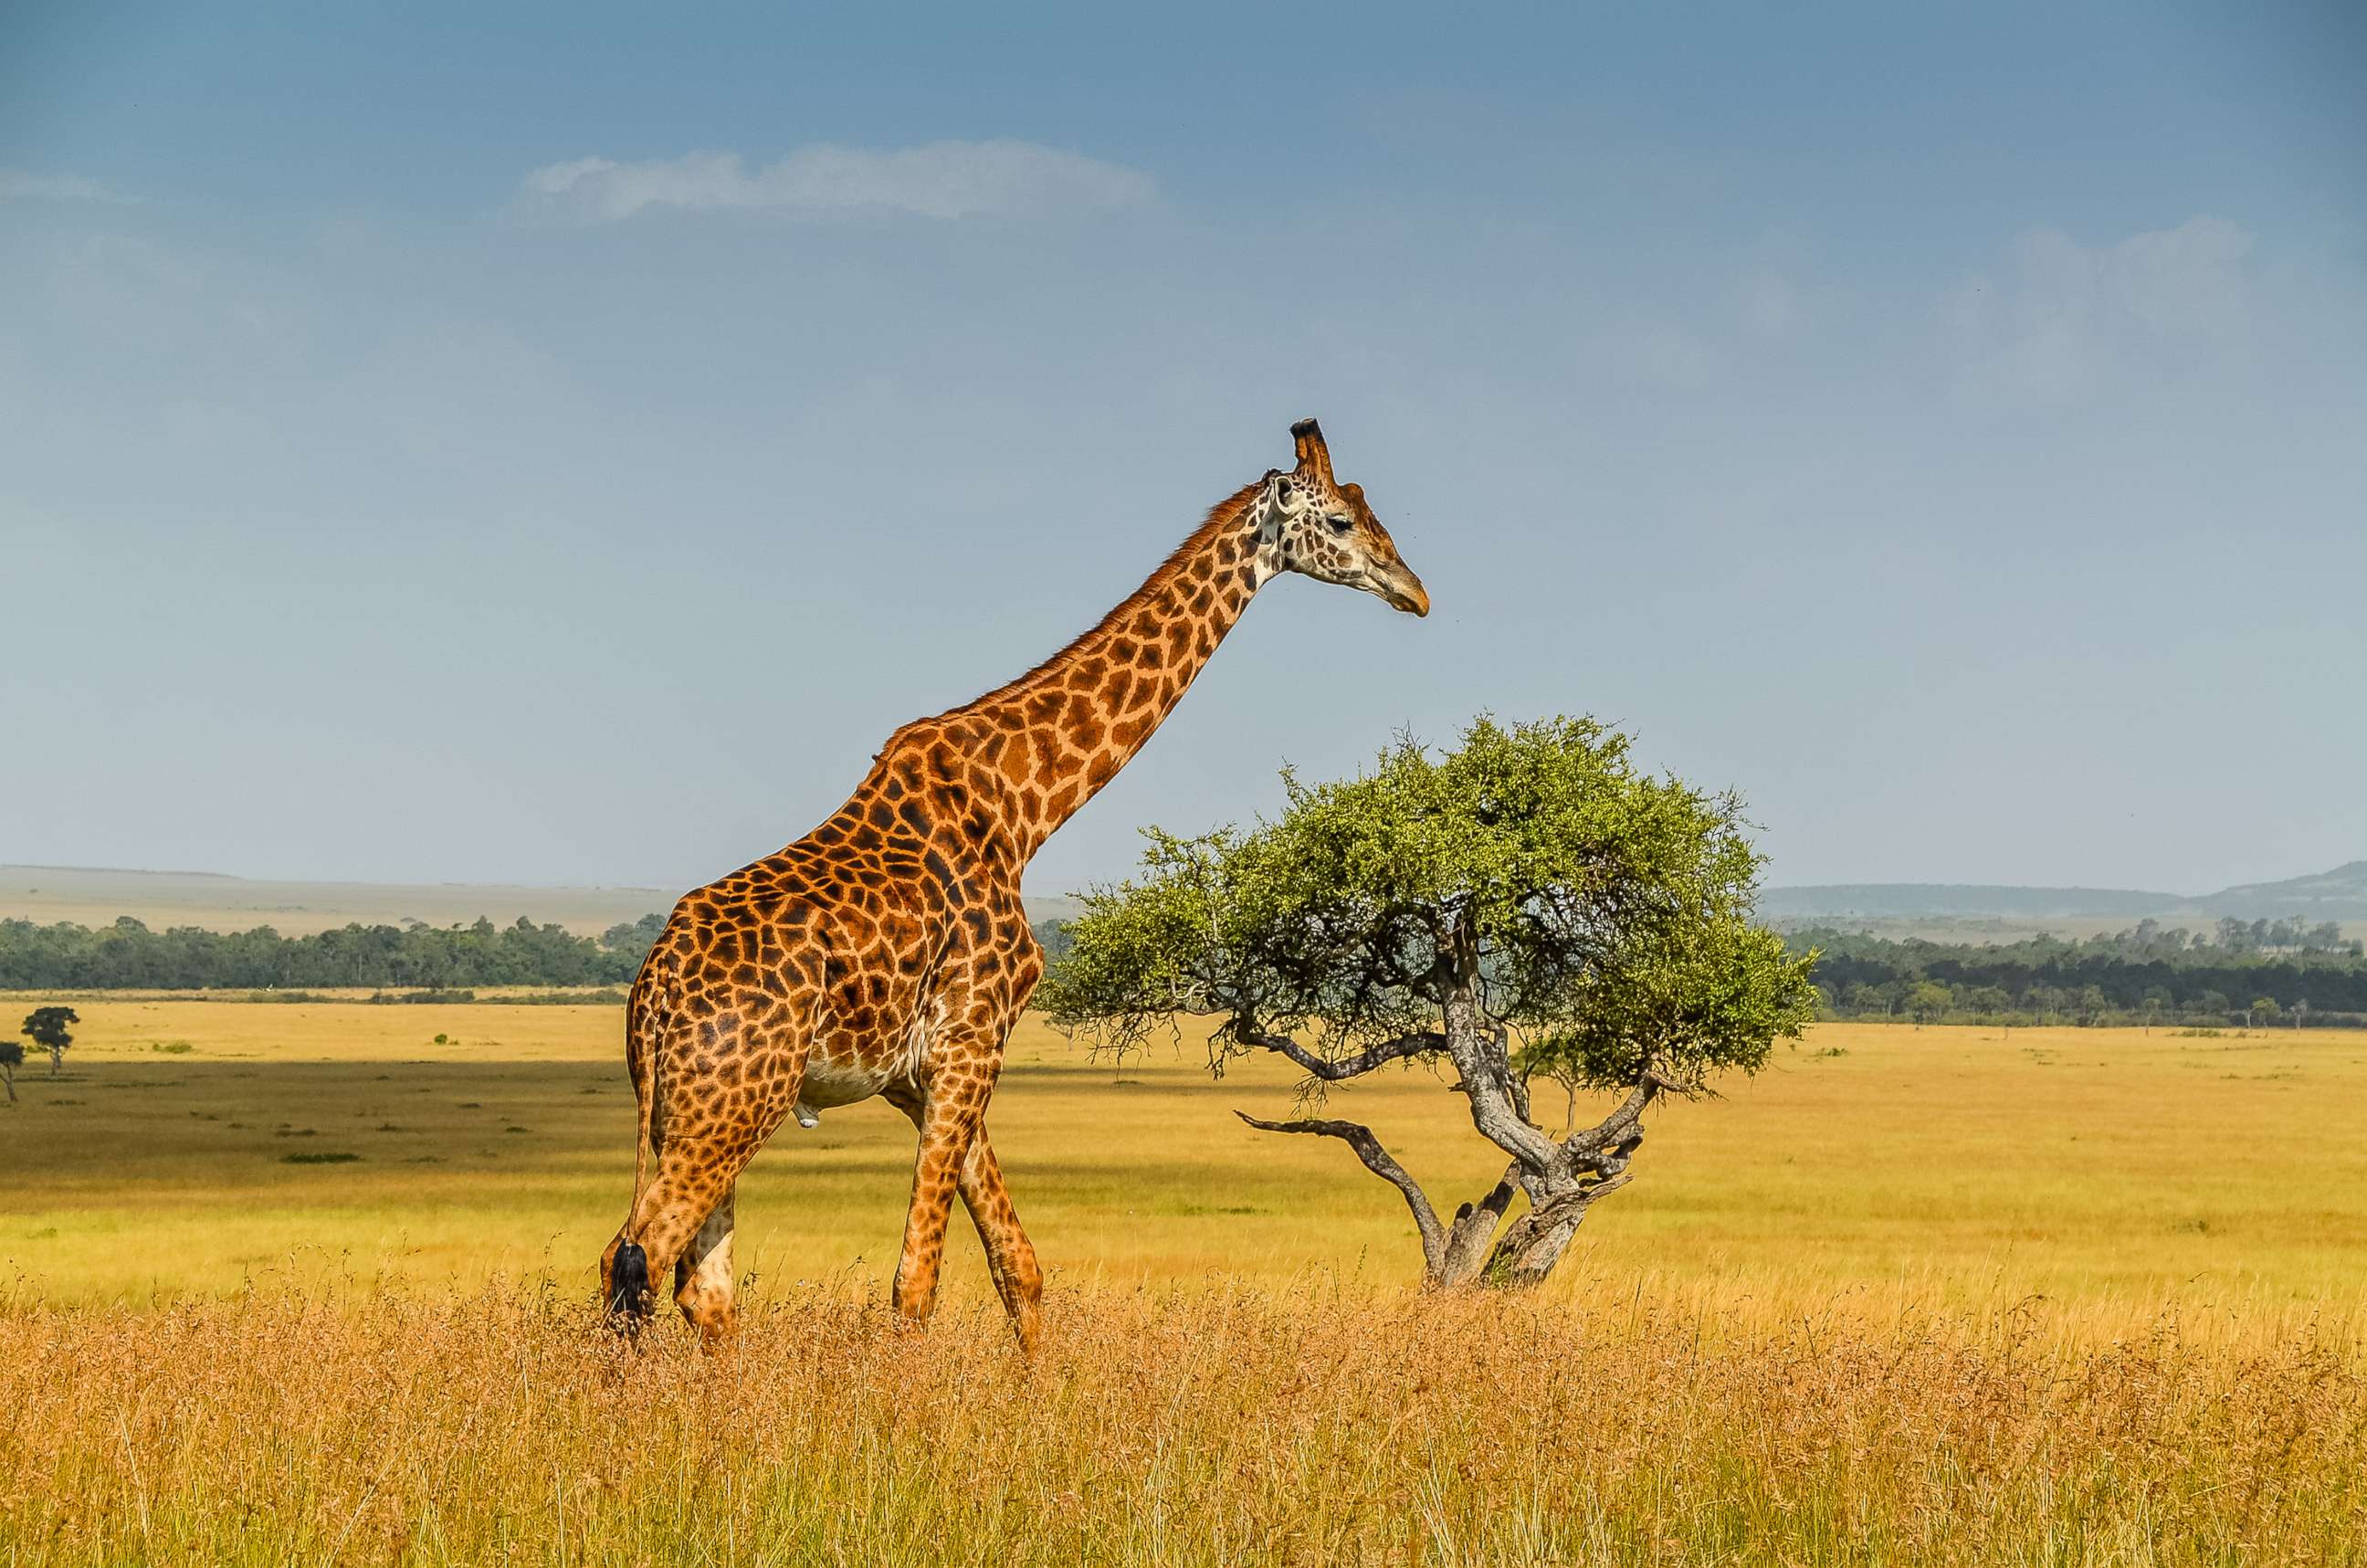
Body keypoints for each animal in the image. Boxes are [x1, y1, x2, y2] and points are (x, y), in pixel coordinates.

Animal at [601, 416, 1429, 1354]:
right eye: (1342, 523)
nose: (1415, 592)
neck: (1025, 809)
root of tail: (655, 990)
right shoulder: (971, 1038)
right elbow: (915, 1285)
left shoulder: (928, 1068)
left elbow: (1018, 1270)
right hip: (734, 1102)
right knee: (635, 1259)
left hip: (696, 1106)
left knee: (695, 1284)